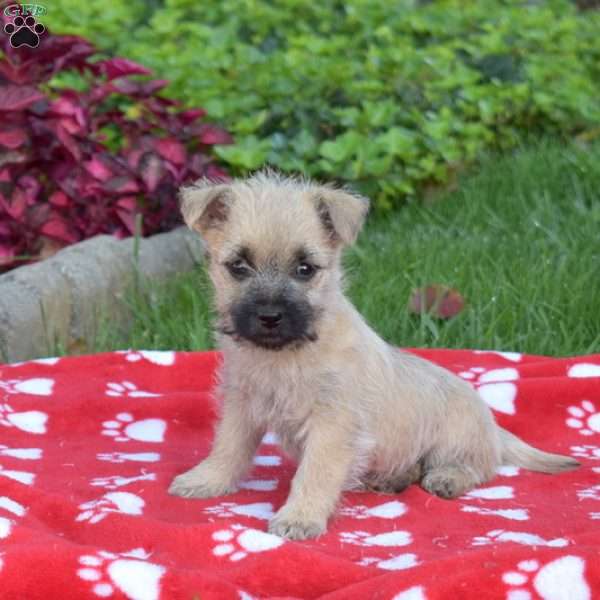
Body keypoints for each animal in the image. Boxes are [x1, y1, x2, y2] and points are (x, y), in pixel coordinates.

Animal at [168, 171, 576, 540]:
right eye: (238, 266)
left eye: (305, 269)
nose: (269, 316)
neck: (284, 355)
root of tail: (494, 427)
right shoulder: (241, 403)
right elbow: (228, 447)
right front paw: (207, 479)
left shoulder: (332, 424)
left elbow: (315, 472)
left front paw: (300, 517)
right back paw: (392, 478)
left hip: (456, 438)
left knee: (475, 467)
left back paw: (445, 478)